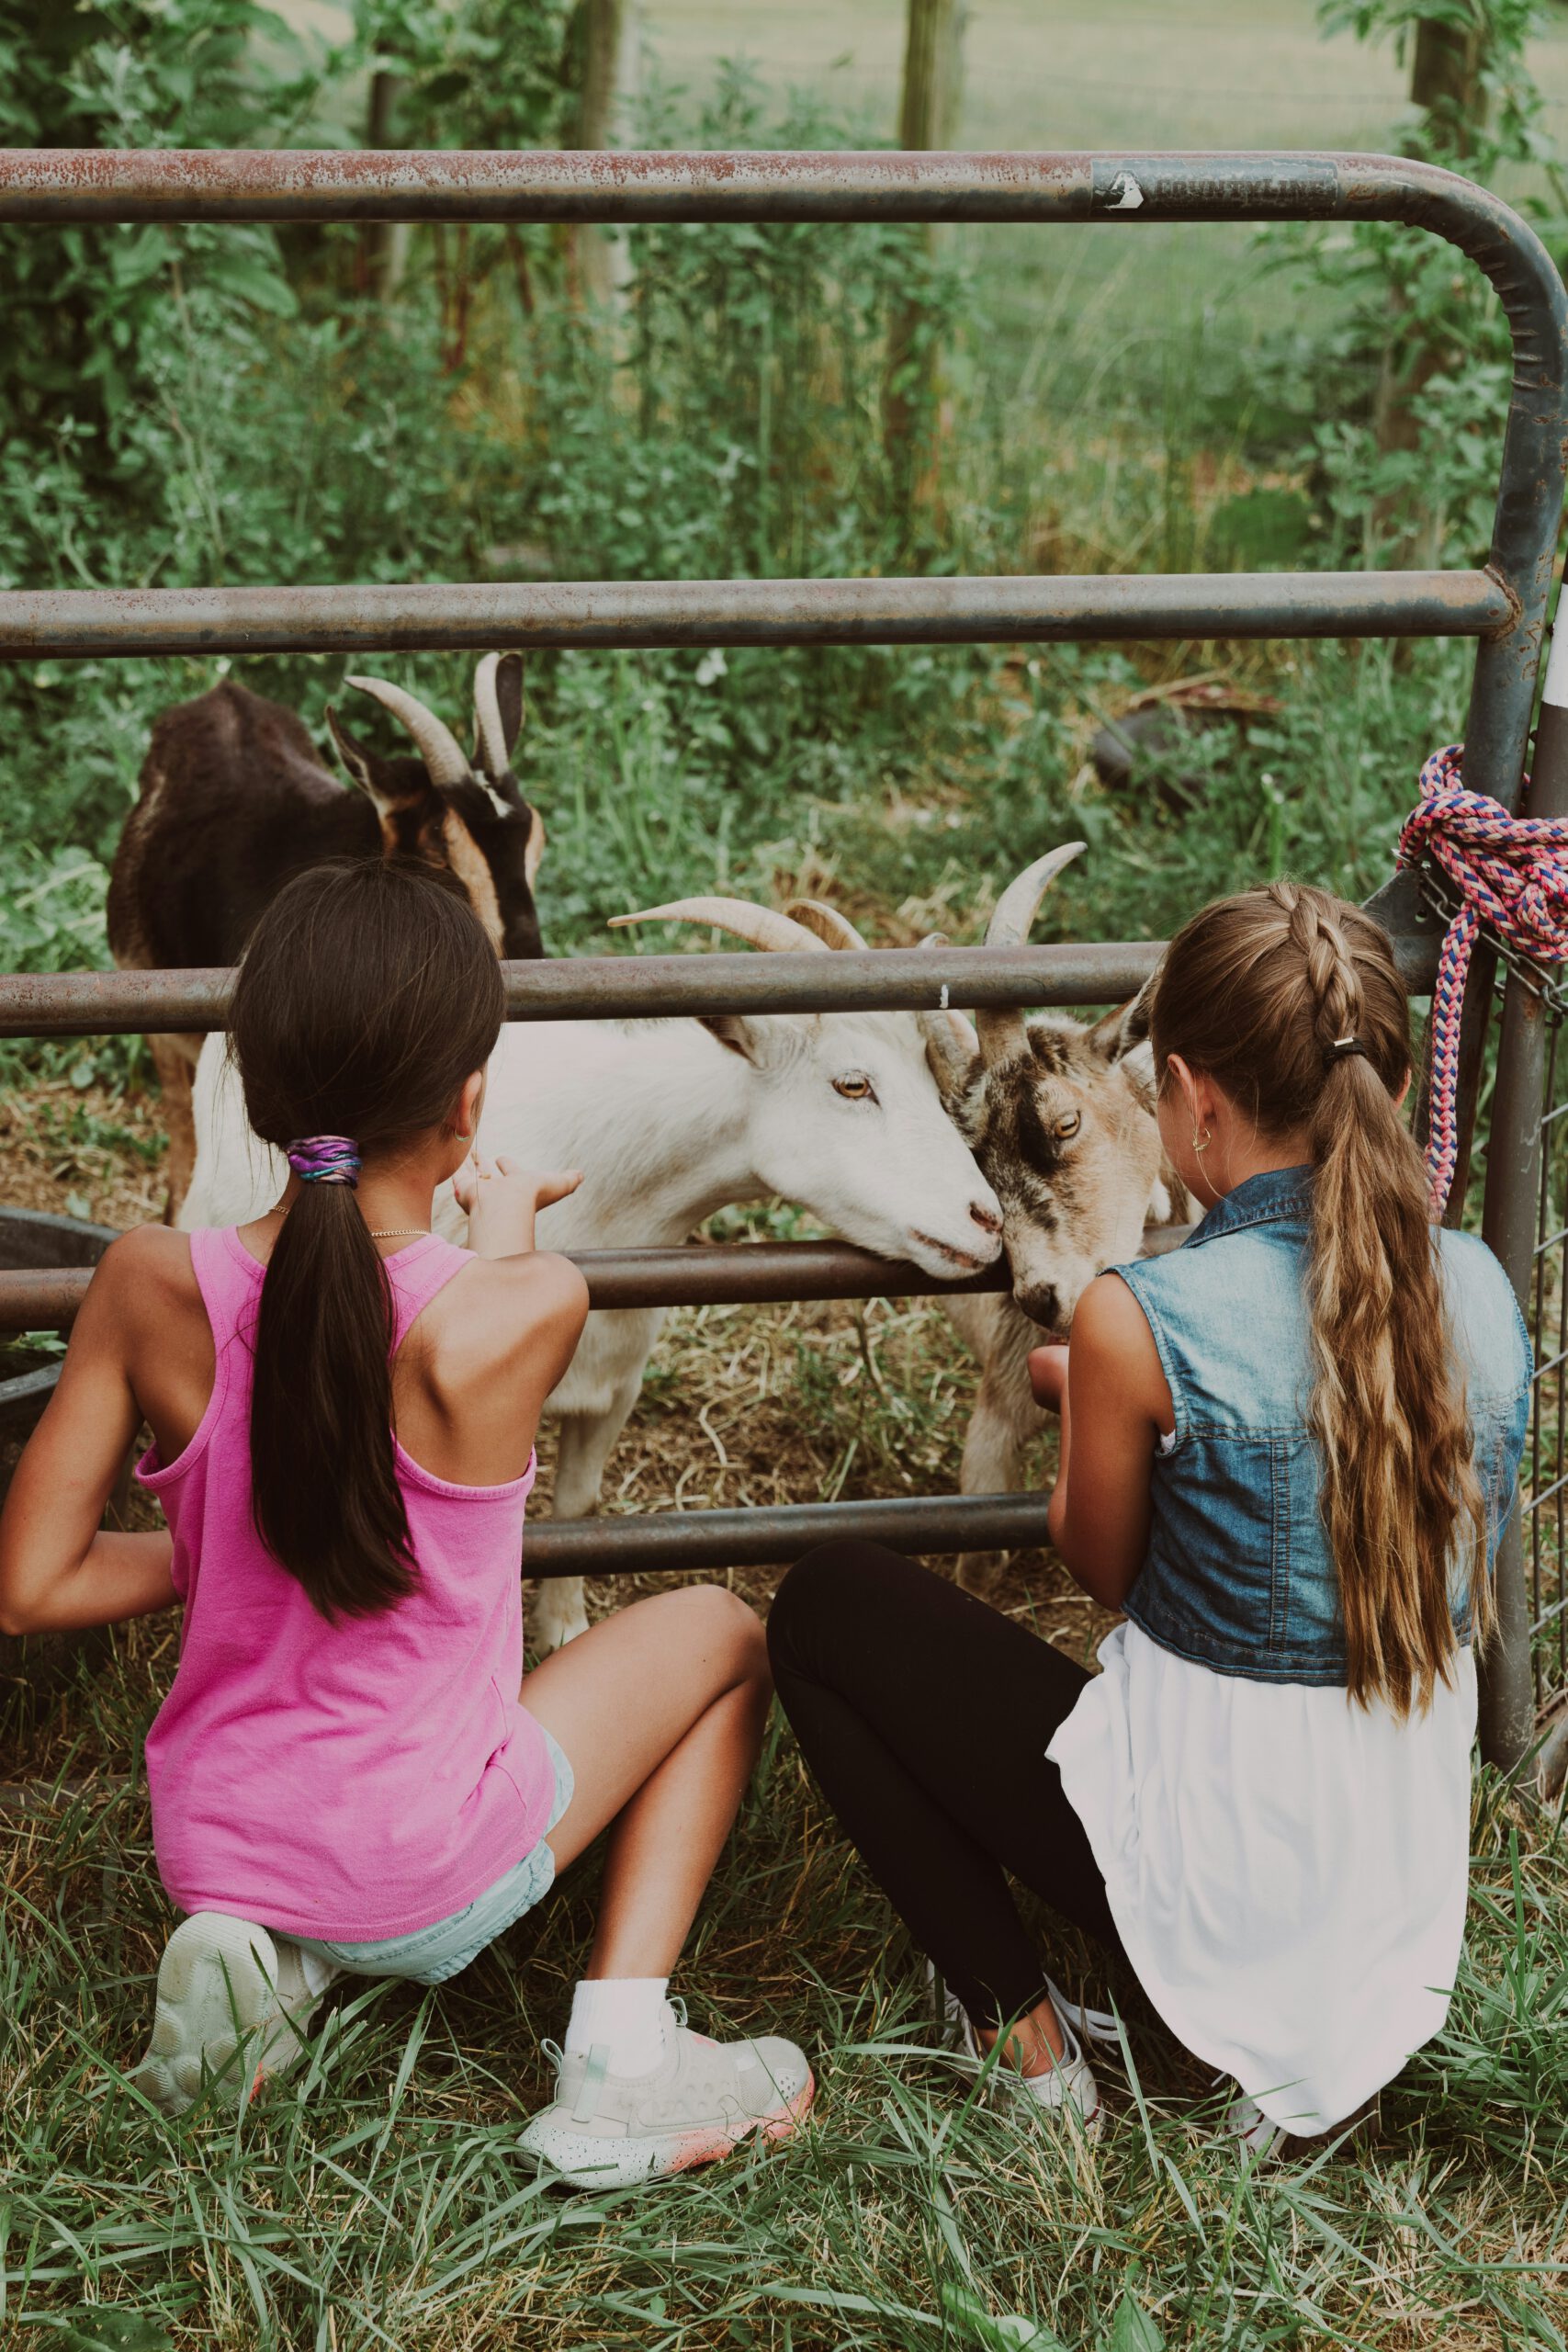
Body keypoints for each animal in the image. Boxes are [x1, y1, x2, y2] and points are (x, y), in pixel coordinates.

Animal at [177, 888, 1001, 1646]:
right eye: (852, 1083)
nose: (985, 1221)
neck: (612, 1191)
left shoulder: (613, 1384)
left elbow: (576, 1510)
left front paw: (564, 1630)